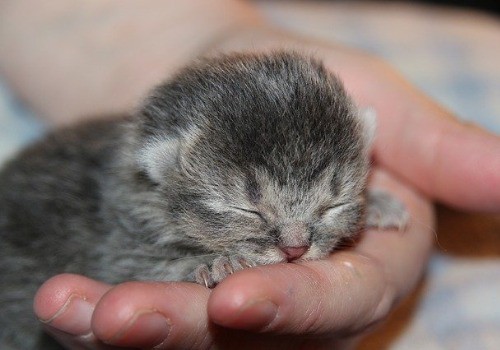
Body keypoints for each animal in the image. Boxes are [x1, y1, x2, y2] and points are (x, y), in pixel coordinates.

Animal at [0, 50, 406, 348]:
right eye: (248, 209)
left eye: (332, 205)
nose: (295, 249)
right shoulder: (117, 245)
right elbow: (145, 264)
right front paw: (214, 262)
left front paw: (380, 203)